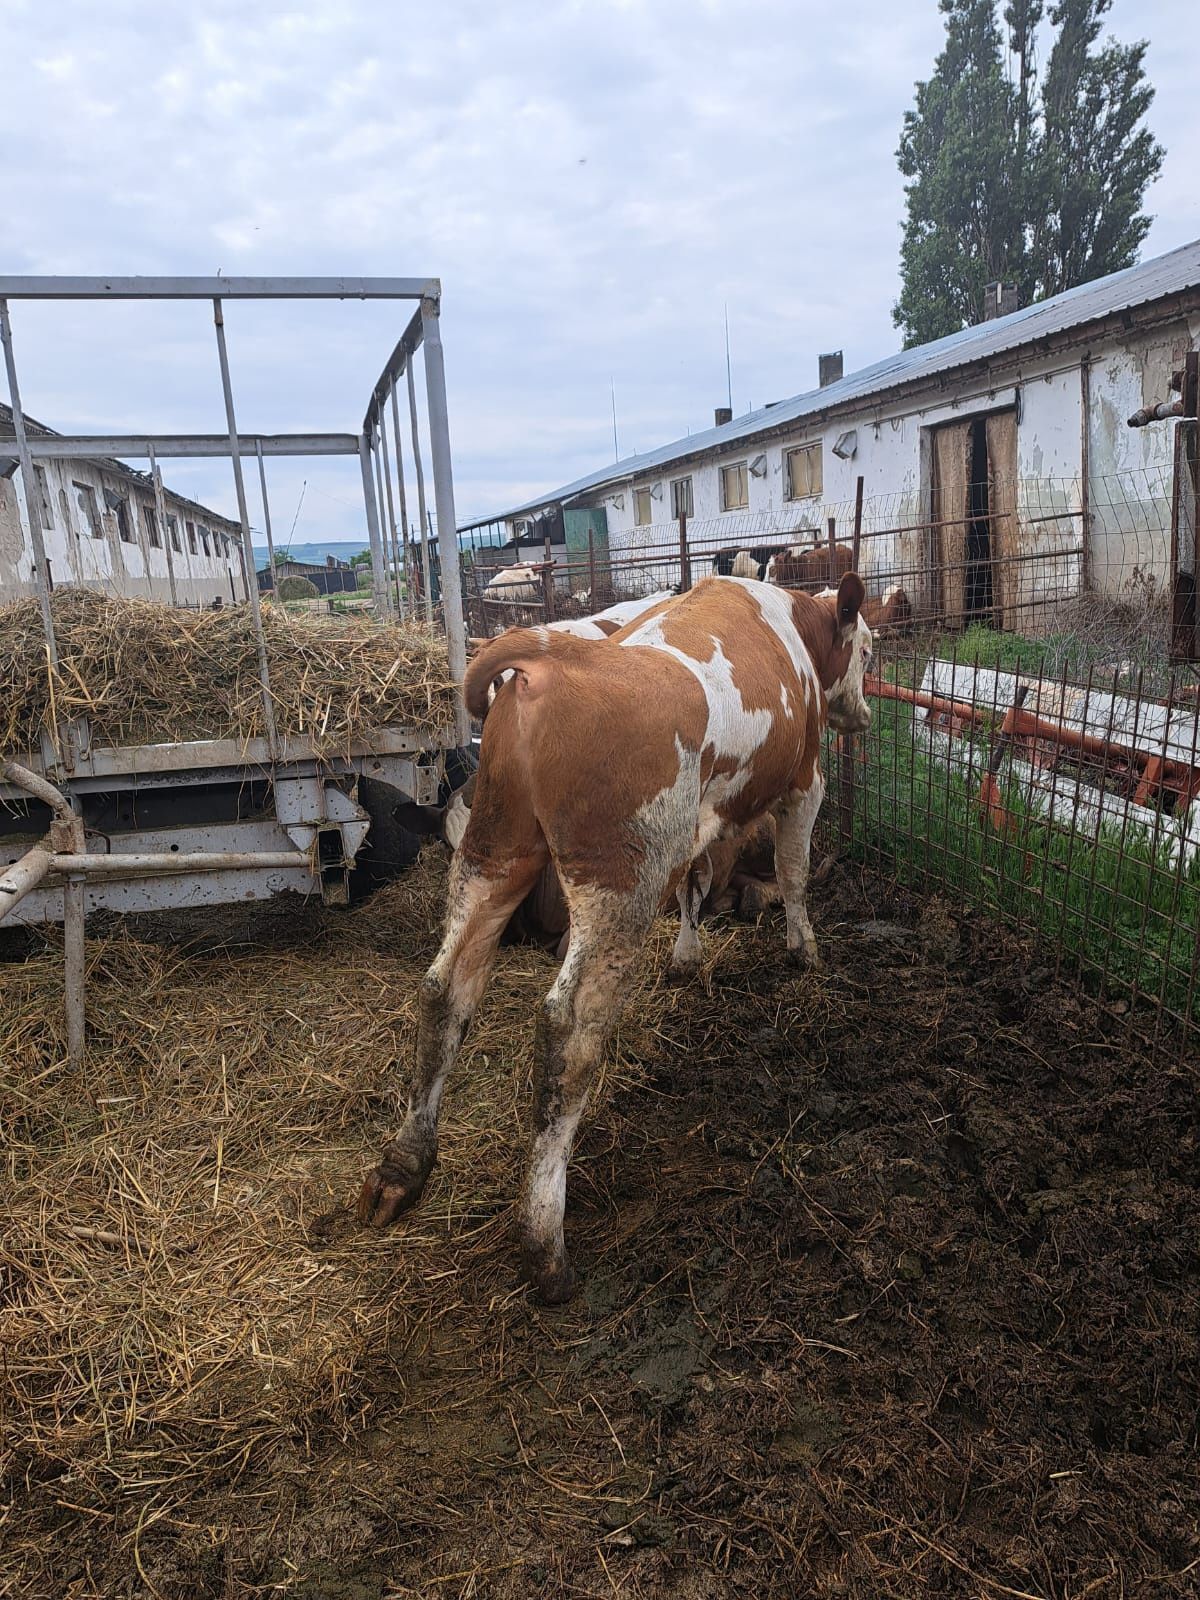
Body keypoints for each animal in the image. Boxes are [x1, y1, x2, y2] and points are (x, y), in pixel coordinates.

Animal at [356, 572, 876, 1299]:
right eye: (868, 649)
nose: (865, 716)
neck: (788, 622)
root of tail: (554, 662)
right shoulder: (805, 780)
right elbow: (795, 872)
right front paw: (805, 950)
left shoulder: (694, 831)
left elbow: (694, 886)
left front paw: (687, 956)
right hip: (620, 883)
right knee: (569, 1031)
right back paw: (544, 1245)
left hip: (494, 850)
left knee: (444, 989)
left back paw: (401, 1169)